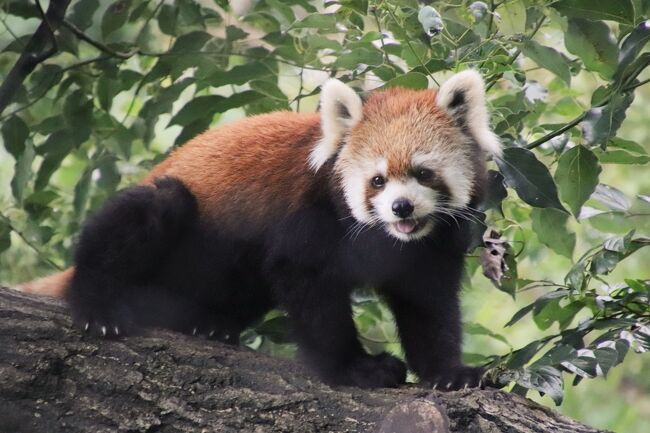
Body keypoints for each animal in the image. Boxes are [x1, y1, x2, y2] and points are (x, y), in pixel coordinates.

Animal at [17, 70, 498, 388]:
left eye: (423, 173)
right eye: (377, 180)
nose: (401, 208)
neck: (385, 237)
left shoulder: (430, 247)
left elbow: (428, 306)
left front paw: (448, 373)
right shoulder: (309, 219)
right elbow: (309, 292)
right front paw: (355, 369)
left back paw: (213, 325)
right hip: (167, 214)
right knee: (153, 209)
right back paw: (97, 304)